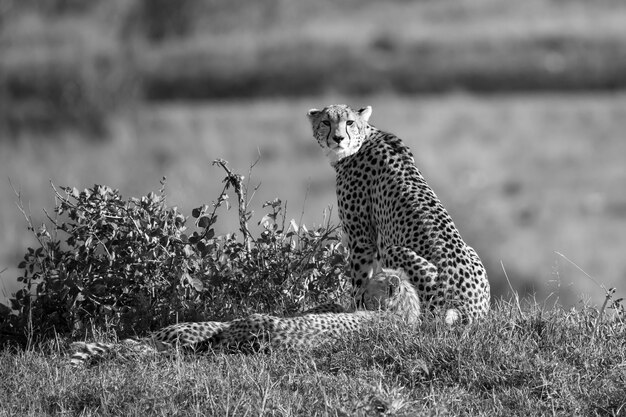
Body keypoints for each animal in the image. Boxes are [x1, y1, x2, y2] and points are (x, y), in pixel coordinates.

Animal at [306, 103, 488, 322]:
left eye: (349, 122)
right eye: (326, 122)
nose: (338, 138)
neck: (362, 140)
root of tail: (473, 309)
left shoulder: (361, 238)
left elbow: (359, 281)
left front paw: (355, 308)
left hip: (395, 253)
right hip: (471, 251)